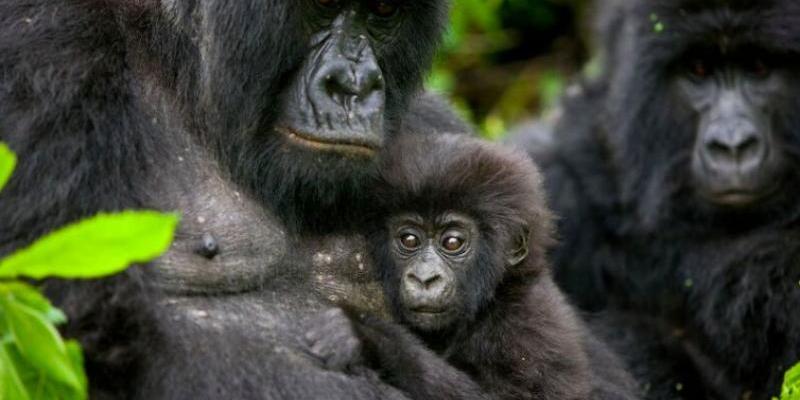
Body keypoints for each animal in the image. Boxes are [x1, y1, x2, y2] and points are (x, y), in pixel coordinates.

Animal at [0, 0, 476, 400]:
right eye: (322, 4)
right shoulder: (45, 51)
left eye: (383, 12)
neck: (177, 63)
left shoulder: (436, 131)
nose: (354, 85)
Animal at [318, 135, 636, 400]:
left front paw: (368, 337)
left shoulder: (525, 327)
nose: (424, 278)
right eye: (409, 239)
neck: (494, 297)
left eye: (453, 242)